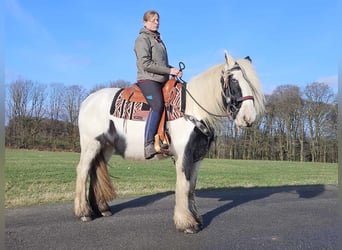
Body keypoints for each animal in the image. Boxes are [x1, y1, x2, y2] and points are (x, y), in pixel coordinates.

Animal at [73, 49, 264, 233]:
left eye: (250, 82)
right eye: (234, 80)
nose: (248, 118)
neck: (192, 110)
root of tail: (87, 101)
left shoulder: (197, 158)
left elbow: (191, 187)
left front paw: (196, 220)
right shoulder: (183, 156)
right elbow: (184, 186)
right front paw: (186, 223)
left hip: (105, 147)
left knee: (94, 171)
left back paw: (102, 209)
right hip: (91, 144)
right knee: (83, 170)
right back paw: (84, 213)